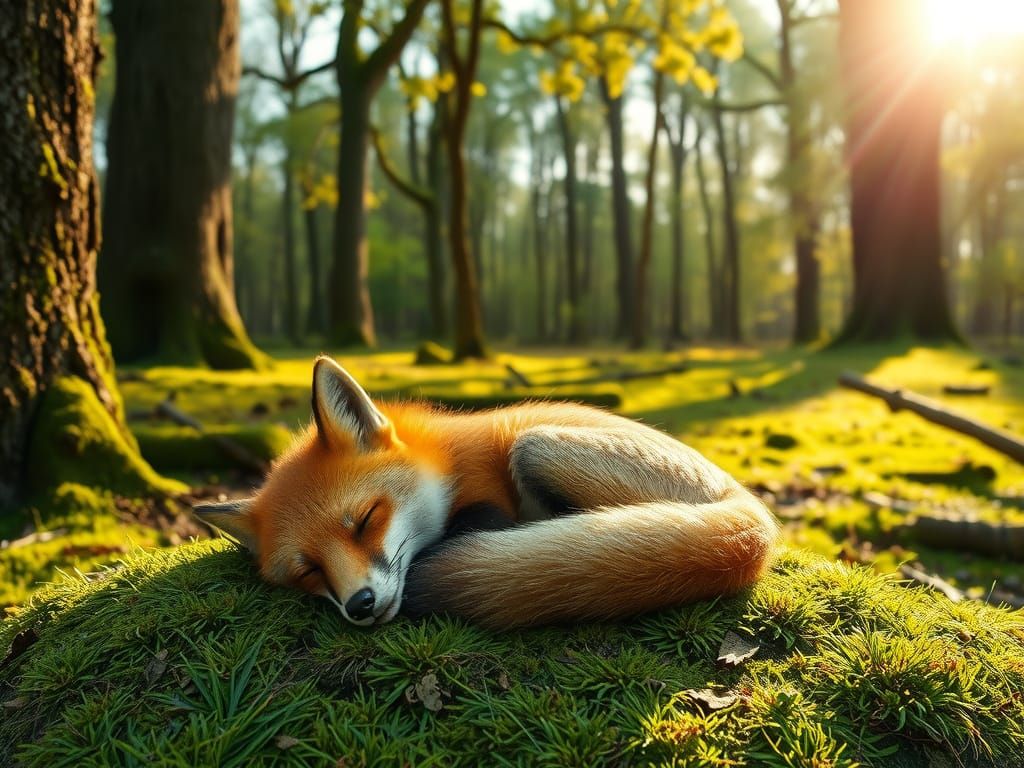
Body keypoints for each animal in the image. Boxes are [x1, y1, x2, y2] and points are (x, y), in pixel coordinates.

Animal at [194, 356, 779, 629]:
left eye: (365, 520)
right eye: (308, 571)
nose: (360, 605)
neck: (446, 462)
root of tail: (753, 515)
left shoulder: (487, 492)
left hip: (534, 446)